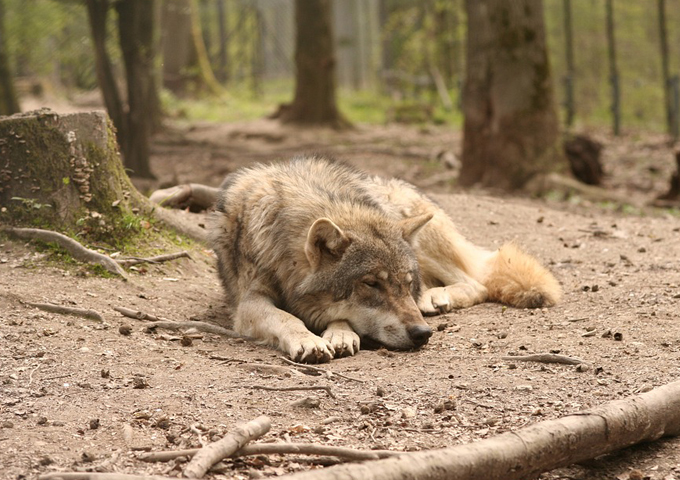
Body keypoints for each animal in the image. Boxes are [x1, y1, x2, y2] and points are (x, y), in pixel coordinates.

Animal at [210, 158, 560, 364]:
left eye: (406, 284)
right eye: (371, 284)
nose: (422, 333)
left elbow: (337, 316)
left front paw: (339, 333)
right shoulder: (249, 301)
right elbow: (286, 318)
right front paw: (311, 339)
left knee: (476, 283)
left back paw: (436, 297)